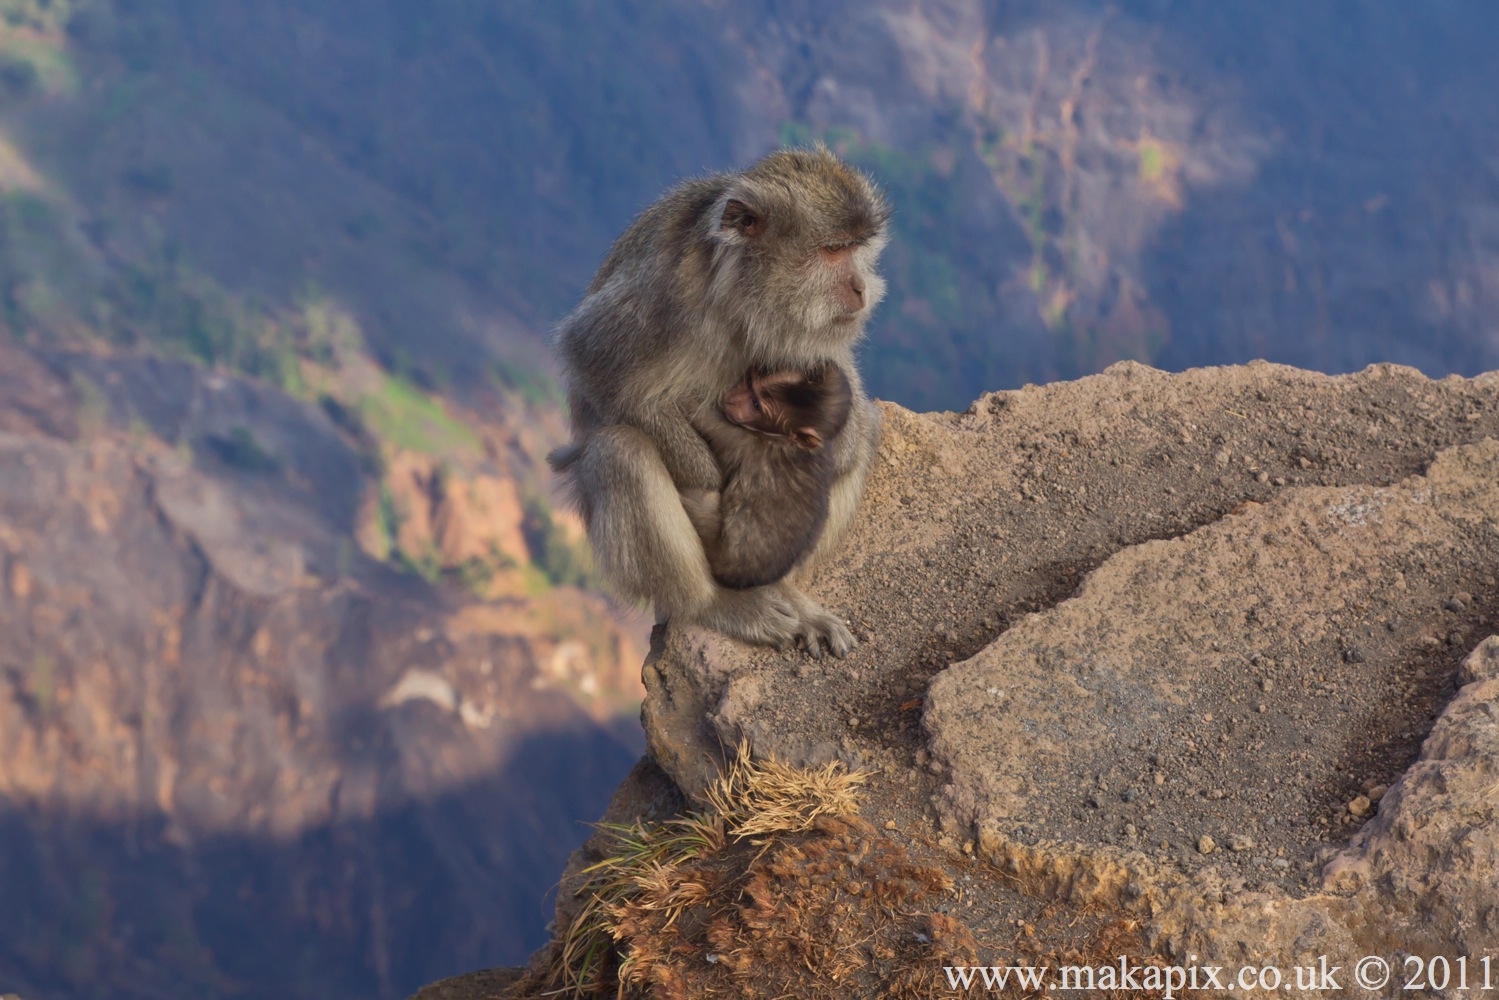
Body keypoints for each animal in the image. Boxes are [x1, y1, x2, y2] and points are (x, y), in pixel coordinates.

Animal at [683, 361, 857, 590]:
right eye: (749, 382)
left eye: (756, 405)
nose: (731, 399)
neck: (785, 439)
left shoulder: (745, 441)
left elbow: (708, 421)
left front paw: (686, 400)